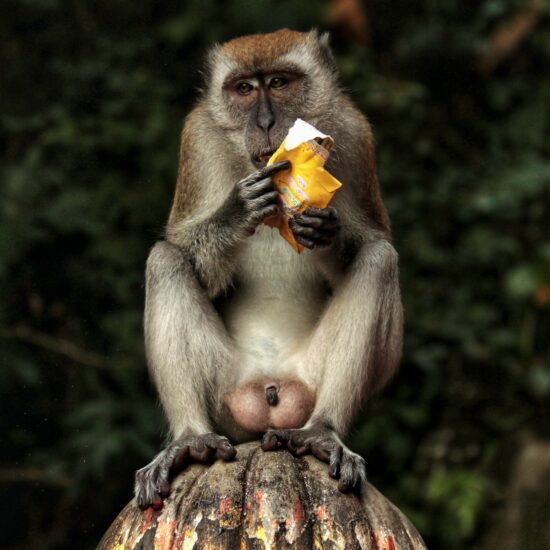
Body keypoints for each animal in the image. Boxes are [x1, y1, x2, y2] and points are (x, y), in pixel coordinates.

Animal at [135, 28, 406, 512]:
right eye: (243, 89)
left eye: (279, 82)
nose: (263, 121)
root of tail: (269, 392)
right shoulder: (198, 139)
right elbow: (188, 254)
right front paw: (235, 213)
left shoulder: (354, 133)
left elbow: (373, 241)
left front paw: (325, 229)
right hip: (225, 391)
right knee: (165, 260)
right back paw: (189, 440)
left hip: (309, 380)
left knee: (379, 261)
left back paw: (323, 431)